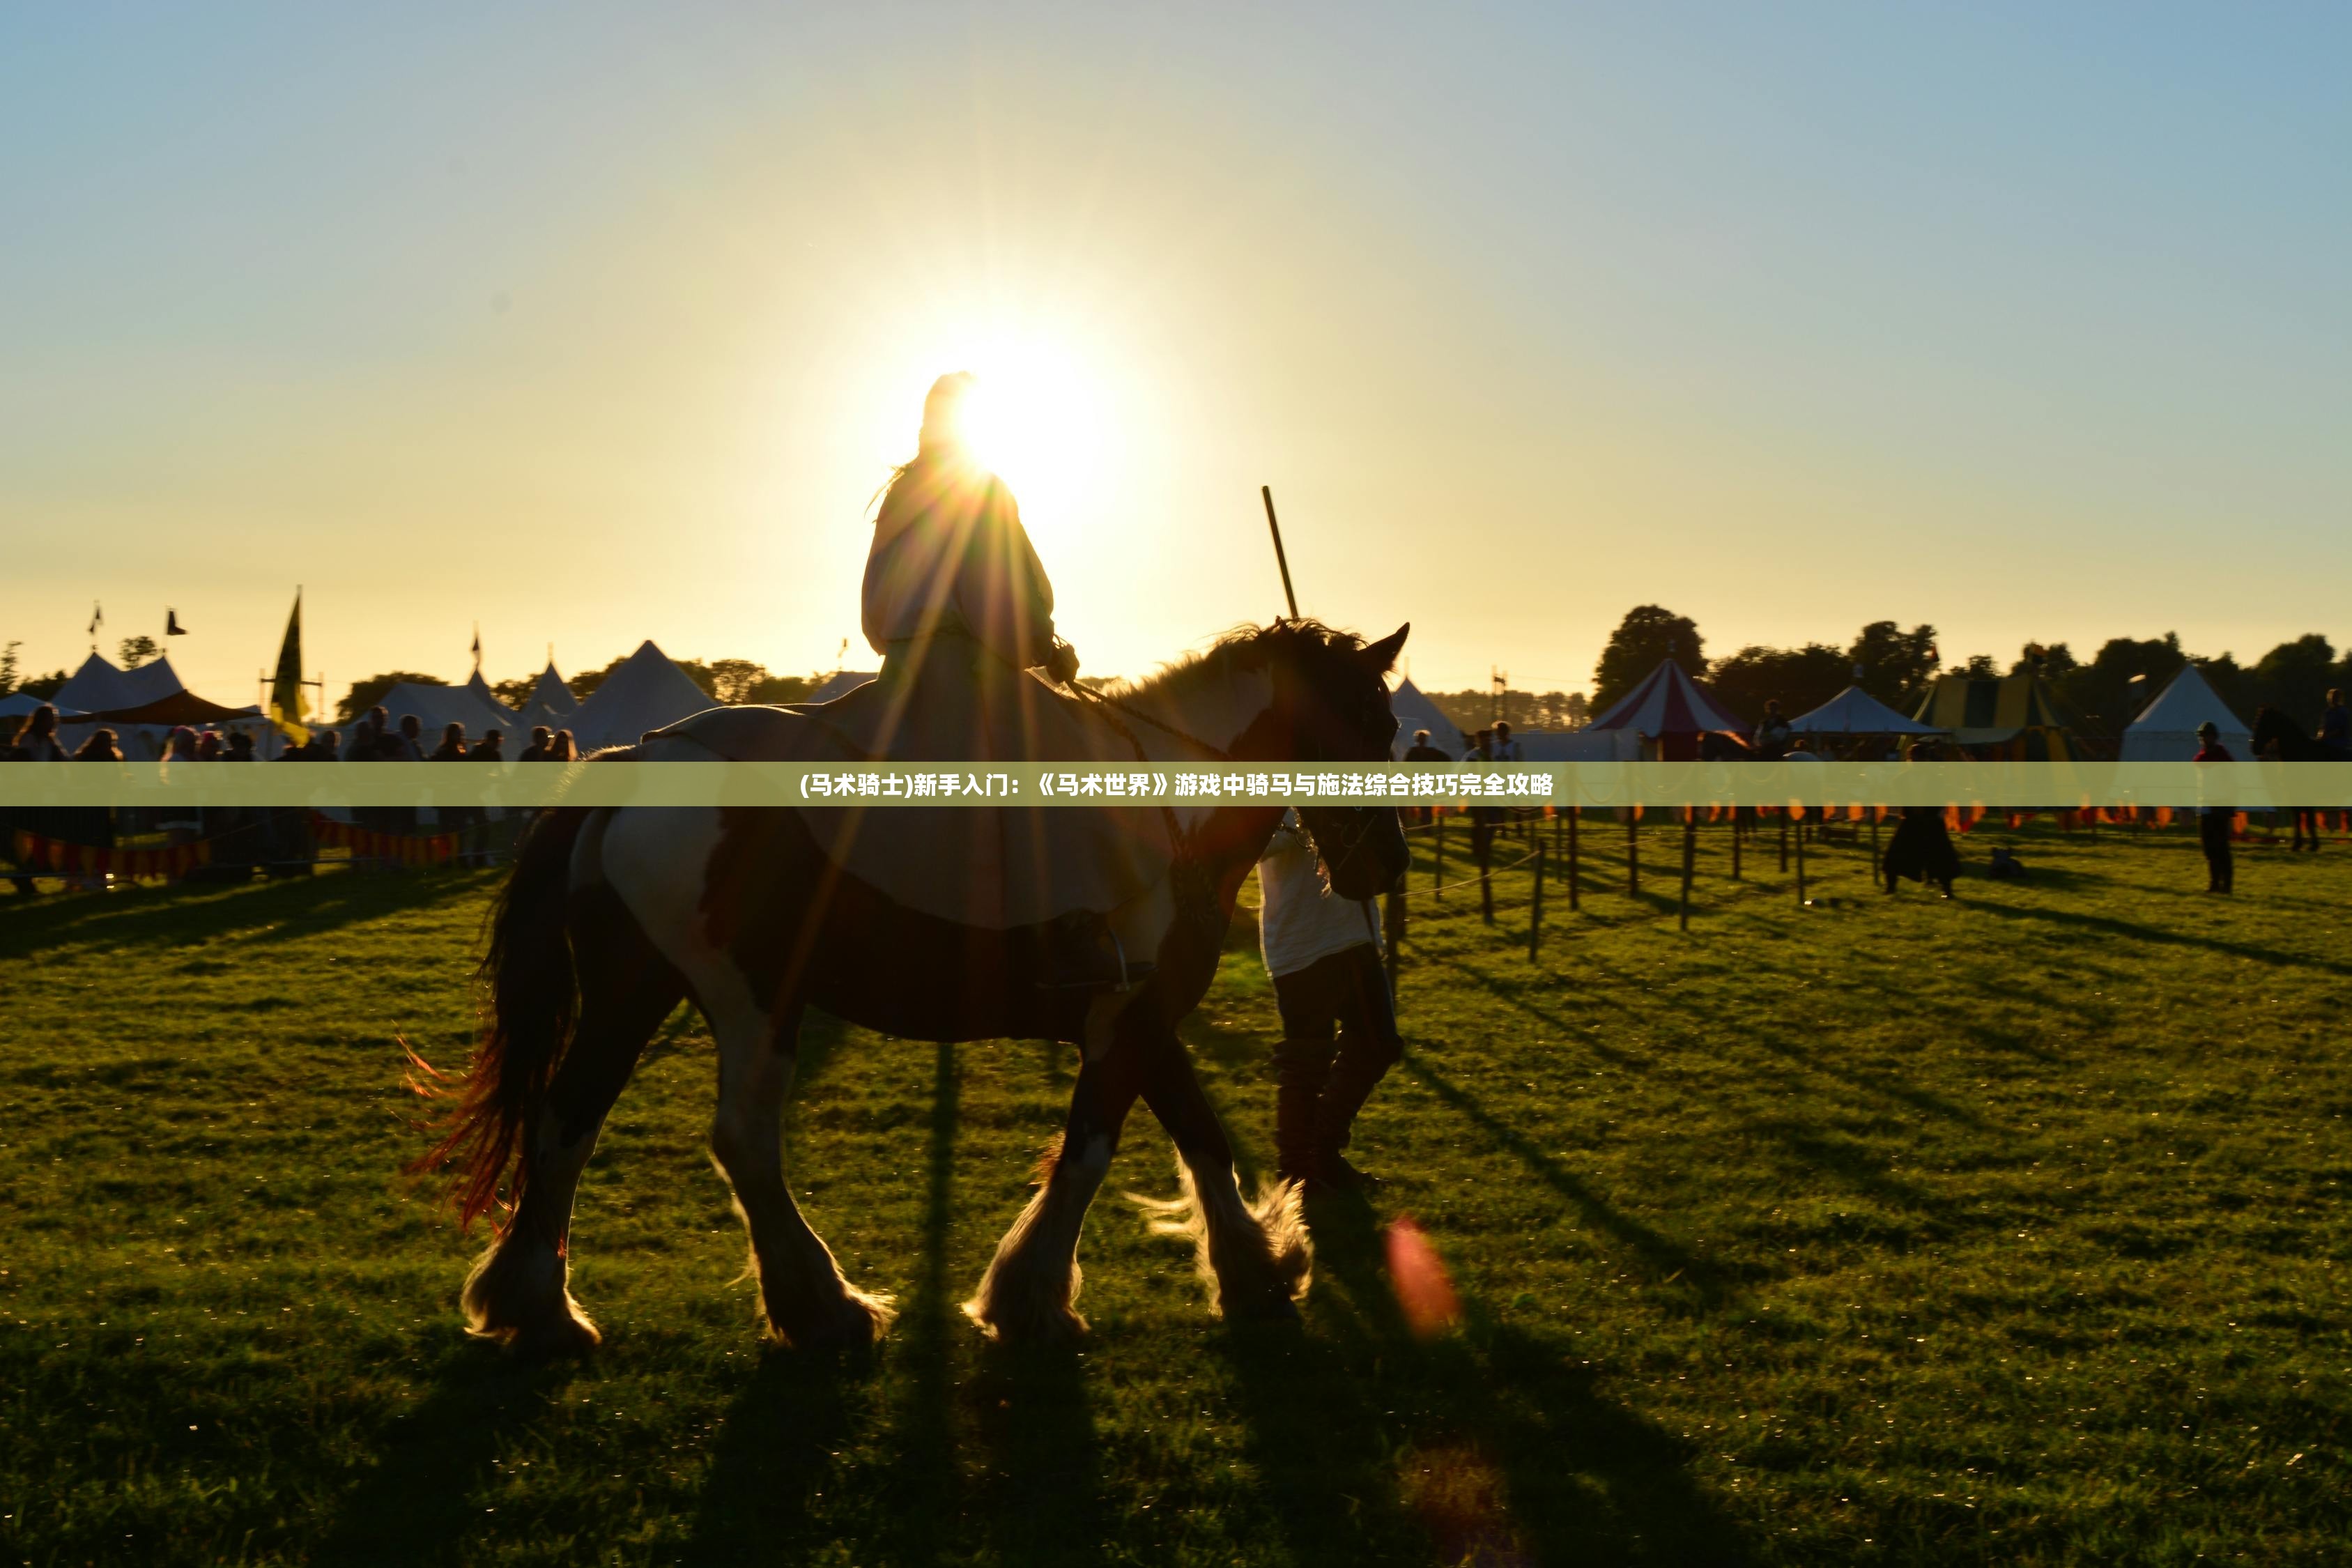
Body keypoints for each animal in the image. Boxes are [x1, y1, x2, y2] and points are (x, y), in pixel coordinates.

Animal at [423, 620, 1411, 1354]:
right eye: (1370, 724)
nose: (1387, 867)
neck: (1170, 808)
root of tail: (636, 764)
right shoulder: (1123, 1020)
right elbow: (1090, 1153)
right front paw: (1032, 1298)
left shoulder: (1143, 1016)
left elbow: (1202, 1137)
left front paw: (1255, 1269)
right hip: (751, 998)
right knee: (740, 1139)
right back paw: (820, 1305)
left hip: (632, 994)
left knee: (565, 1121)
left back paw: (538, 1306)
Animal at [2239, 709, 2333, 860]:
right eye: (2256, 722)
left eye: (2263, 724)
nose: (2254, 748)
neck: (2301, 755)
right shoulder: (2294, 794)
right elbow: (2298, 818)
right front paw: (2298, 845)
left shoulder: (2306, 795)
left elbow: (2309, 820)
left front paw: (2313, 846)